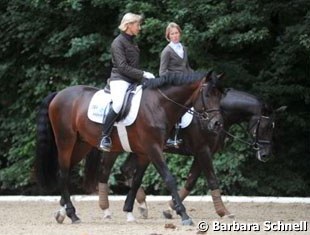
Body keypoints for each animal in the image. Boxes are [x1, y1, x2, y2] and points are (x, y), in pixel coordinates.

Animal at [35, 71, 223, 224]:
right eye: (207, 94)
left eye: (220, 96)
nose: (217, 124)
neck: (159, 104)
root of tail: (59, 93)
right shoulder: (154, 148)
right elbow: (169, 178)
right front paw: (184, 215)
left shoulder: (145, 153)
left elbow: (137, 179)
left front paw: (129, 212)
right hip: (65, 141)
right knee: (63, 173)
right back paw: (72, 214)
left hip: (82, 145)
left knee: (65, 174)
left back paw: (63, 213)